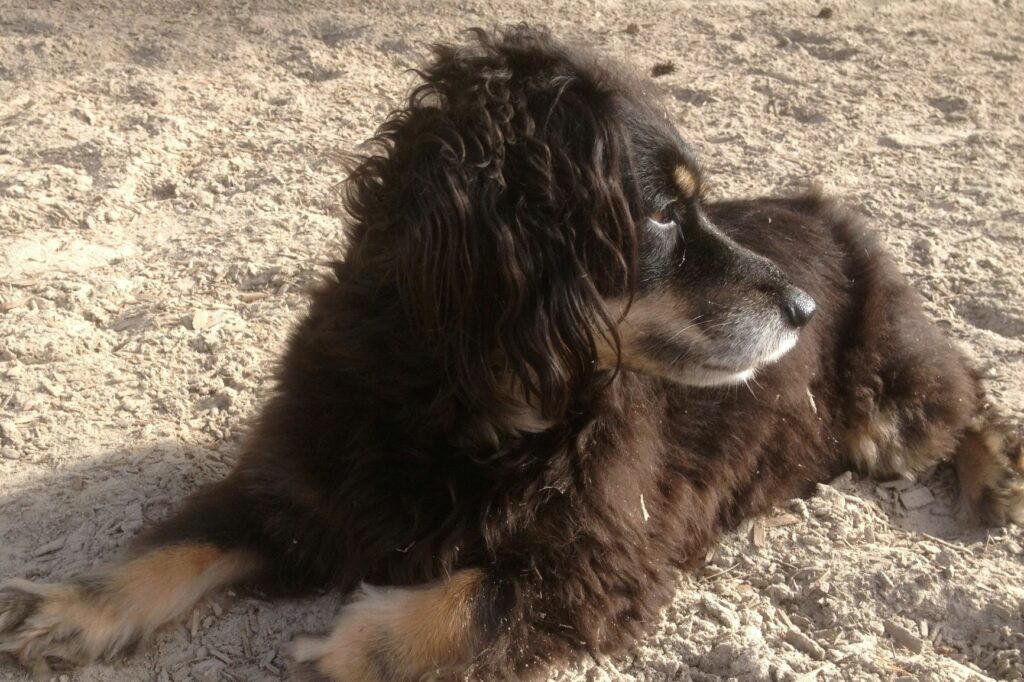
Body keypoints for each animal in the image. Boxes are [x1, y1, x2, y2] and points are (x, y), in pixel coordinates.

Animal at [2, 23, 1024, 675]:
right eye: (663, 213)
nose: (805, 308)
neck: (462, 403)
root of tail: (837, 221)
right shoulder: (300, 481)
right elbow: (182, 542)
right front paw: (71, 608)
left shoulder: (604, 558)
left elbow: (473, 599)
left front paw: (343, 646)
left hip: (884, 410)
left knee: (966, 390)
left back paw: (997, 475)